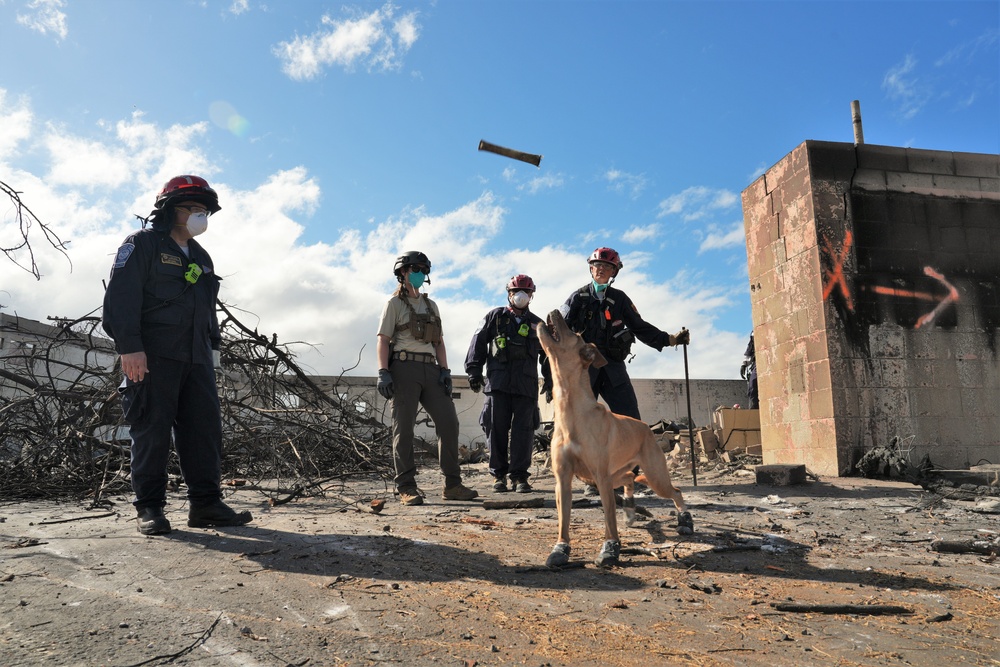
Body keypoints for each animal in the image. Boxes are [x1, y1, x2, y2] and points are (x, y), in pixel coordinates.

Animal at [536, 310, 692, 568]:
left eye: (574, 333)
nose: (556, 311)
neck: (570, 410)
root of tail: (647, 428)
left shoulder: (600, 477)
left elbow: (609, 519)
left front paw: (610, 549)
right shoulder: (564, 479)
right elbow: (563, 520)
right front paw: (560, 548)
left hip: (653, 475)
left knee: (676, 491)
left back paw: (685, 519)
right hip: (614, 474)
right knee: (629, 476)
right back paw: (629, 508)